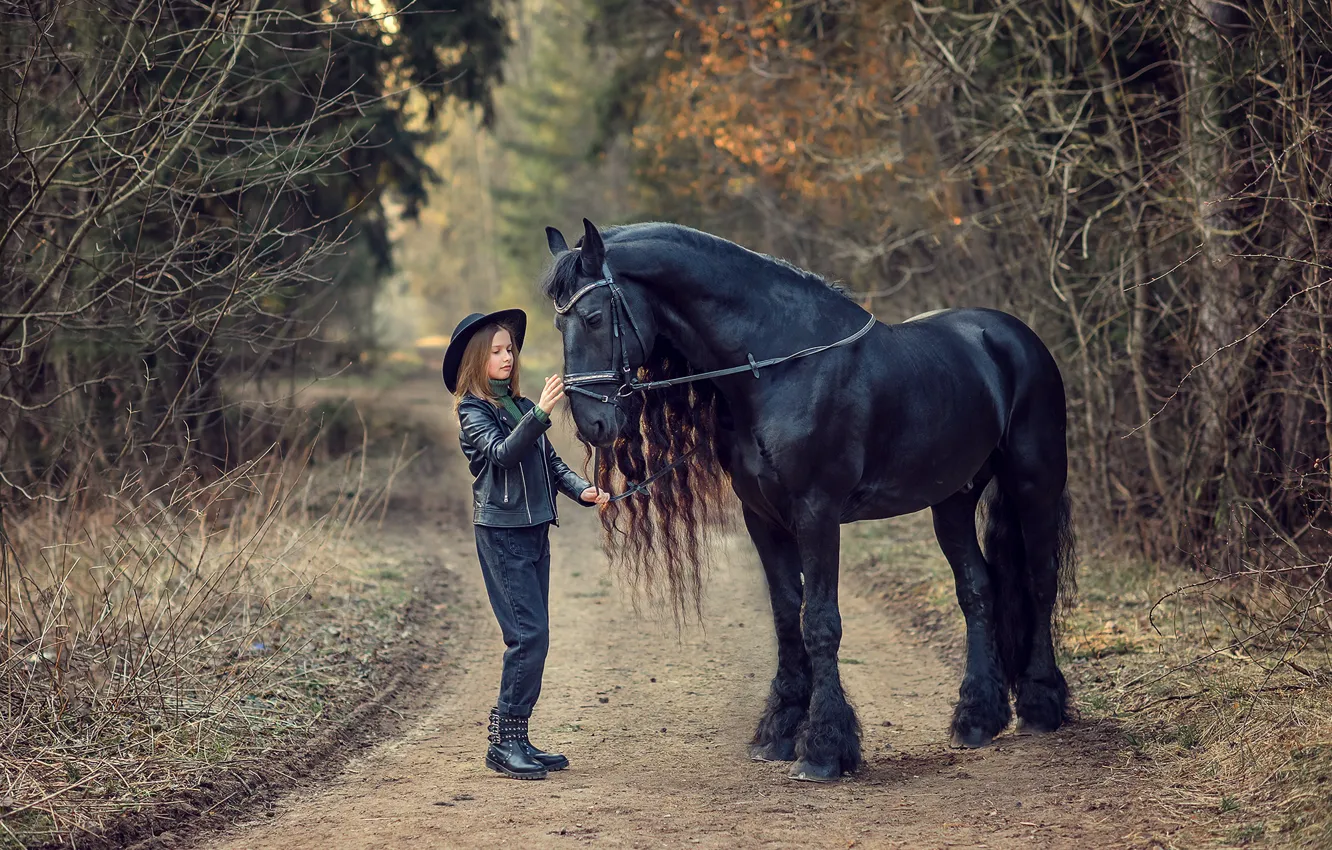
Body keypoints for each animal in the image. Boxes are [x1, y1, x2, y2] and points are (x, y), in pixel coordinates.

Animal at [541, 219, 1076, 783]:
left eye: (593, 317)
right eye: (558, 324)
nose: (593, 423)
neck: (780, 367)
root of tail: (1013, 336)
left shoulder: (817, 513)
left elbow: (819, 622)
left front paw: (823, 748)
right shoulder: (762, 518)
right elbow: (786, 617)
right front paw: (778, 733)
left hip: (1034, 482)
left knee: (1040, 582)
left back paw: (1041, 704)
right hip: (952, 499)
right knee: (978, 589)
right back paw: (977, 718)